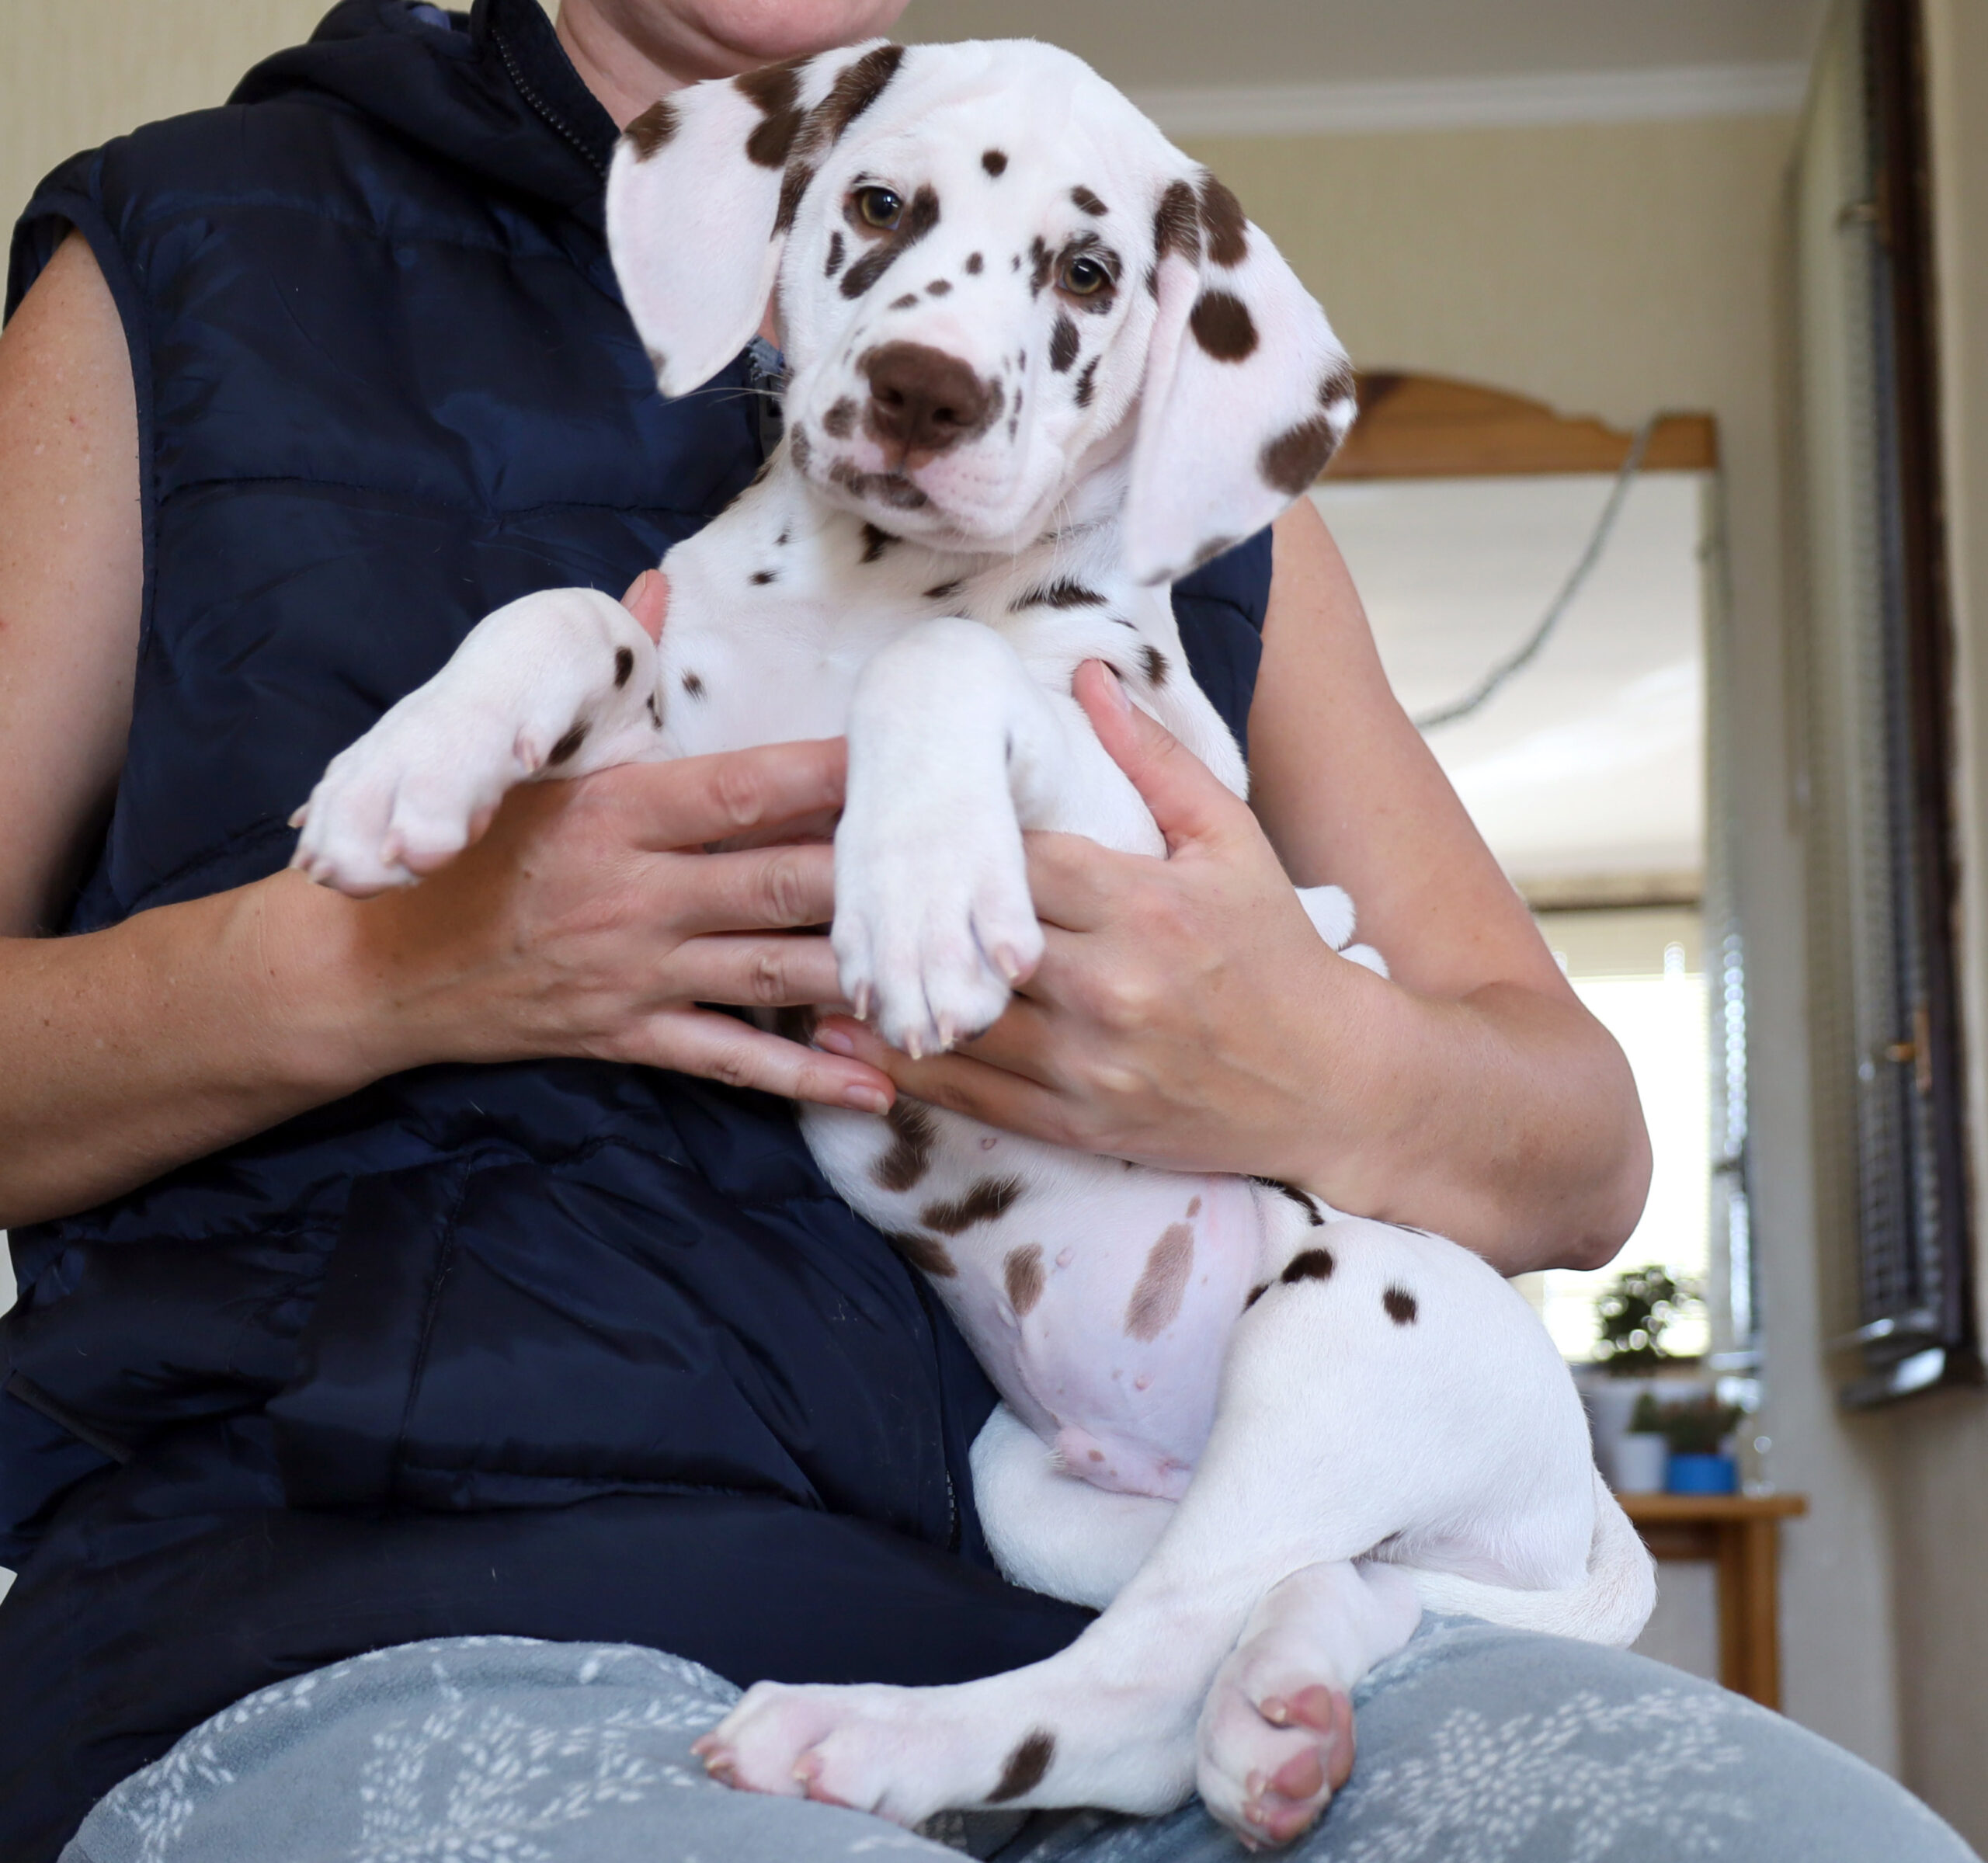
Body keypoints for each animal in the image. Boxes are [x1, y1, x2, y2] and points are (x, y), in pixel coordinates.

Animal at [290, 37, 1655, 1847]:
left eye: (1085, 273)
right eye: (880, 205)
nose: (921, 392)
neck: (861, 588)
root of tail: (1567, 1496)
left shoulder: (1158, 837)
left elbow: (947, 669)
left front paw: (923, 886)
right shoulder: (674, 780)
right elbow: (569, 613)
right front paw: (411, 762)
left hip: (1343, 1329)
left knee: (1132, 1676)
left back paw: (866, 1736)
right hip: (1038, 1491)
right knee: (1298, 1597)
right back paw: (1280, 1715)